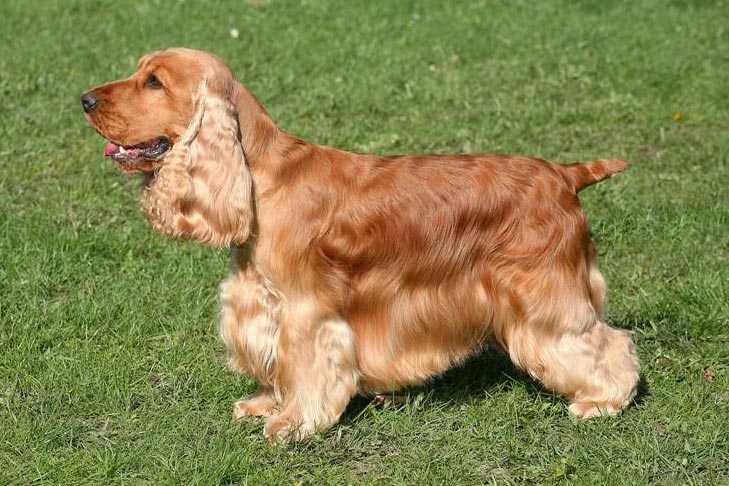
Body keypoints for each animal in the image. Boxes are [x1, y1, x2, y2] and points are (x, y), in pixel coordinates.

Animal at [81, 47, 636, 442]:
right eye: (138, 71)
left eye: (154, 81)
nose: (85, 99)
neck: (260, 178)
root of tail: (565, 174)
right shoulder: (259, 301)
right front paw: (263, 403)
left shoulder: (306, 311)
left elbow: (307, 368)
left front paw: (293, 423)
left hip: (545, 293)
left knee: (605, 342)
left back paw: (603, 402)